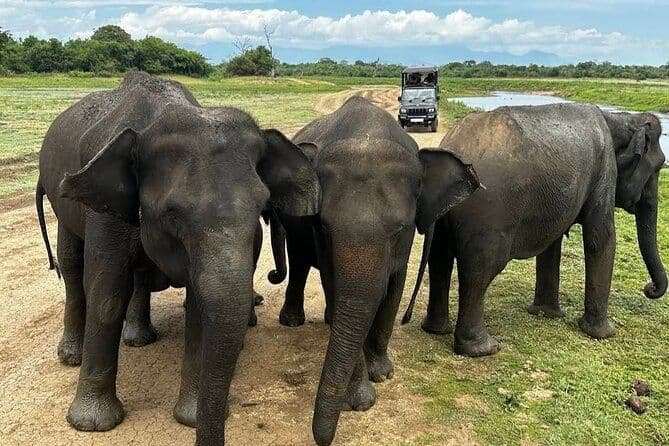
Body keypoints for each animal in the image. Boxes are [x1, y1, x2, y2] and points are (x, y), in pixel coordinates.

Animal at [36, 71, 319, 445]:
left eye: (262, 207)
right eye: (172, 214)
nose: (273, 277)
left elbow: (199, 303)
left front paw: (189, 418)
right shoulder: (106, 212)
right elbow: (107, 293)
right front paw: (92, 424)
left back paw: (138, 339)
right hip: (63, 202)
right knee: (71, 265)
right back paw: (72, 356)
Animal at [268, 96, 481, 446]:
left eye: (400, 230)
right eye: (323, 228)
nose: (322, 439)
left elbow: (393, 289)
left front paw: (382, 374)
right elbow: (337, 288)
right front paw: (360, 399)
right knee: (299, 260)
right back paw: (295, 321)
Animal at [402, 103, 667, 358]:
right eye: (659, 166)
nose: (649, 289)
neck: (620, 118)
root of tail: (453, 144)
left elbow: (553, 241)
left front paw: (546, 314)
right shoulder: (604, 169)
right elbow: (600, 237)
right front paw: (603, 334)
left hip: (445, 214)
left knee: (440, 261)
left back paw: (437, 330)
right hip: (488, 216)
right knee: (479, 271)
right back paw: (484, 349)